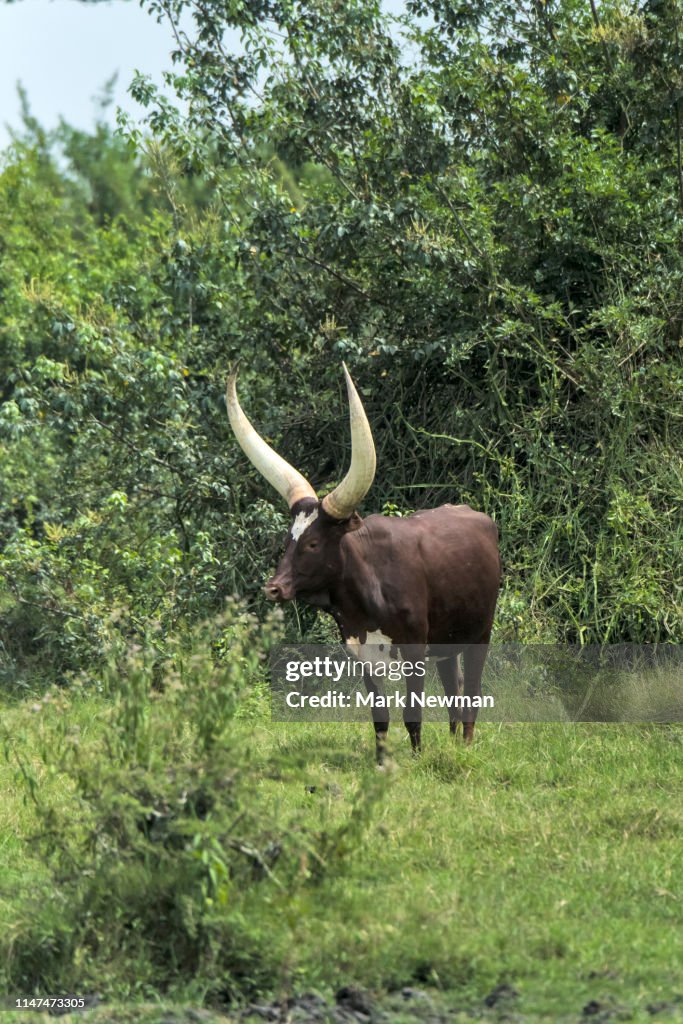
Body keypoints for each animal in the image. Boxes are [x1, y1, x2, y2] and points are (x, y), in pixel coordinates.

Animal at [227, 362, 499, 761]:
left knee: (473, 692)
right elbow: (380, 715)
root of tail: (478, 517)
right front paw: (382, 762)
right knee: (454, 686)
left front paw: (416, 759)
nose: (273, 588)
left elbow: (412, 713)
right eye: (287, 540)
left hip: (480, 633)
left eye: (313, 543)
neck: (367, 593)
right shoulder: (361, 651)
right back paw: (452, 745)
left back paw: (465, 745)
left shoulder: (414, 648)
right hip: (448, 640)